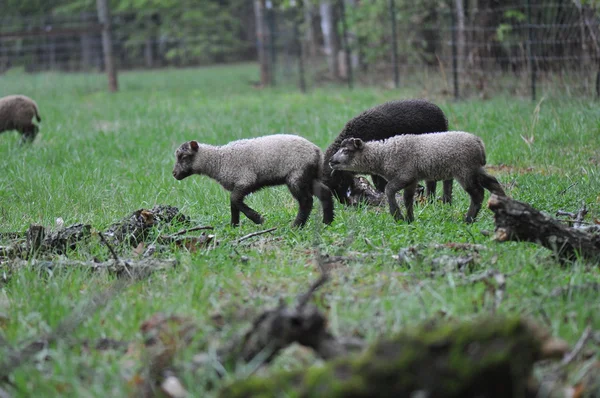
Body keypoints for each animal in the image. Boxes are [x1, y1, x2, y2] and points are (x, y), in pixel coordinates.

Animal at [171, 134, 336, 227]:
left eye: (184, 156)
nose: (174, 174)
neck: (218, 161)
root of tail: (317, 152)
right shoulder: (237, 184)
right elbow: (233, 204)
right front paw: (234, 225)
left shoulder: (245, 180)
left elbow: (235, 200)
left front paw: (258, 219)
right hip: (308, 177)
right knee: (325, 193)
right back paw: (327, 222)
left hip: (296, 175)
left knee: (306, 201)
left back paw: (296, 225)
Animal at [328, 131, 506, 222]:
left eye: (346, 150)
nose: (331, 161)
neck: (383, 156)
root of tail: (479, 143)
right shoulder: (412, 180)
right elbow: (408, 199)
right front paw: (409, 219)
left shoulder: (404, 175)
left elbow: (389, 190)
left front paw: (397, 216)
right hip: (475, 168)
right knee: (493, 182)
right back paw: (503, 208)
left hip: (464, 171)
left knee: (477, 194)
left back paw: (469, 219)